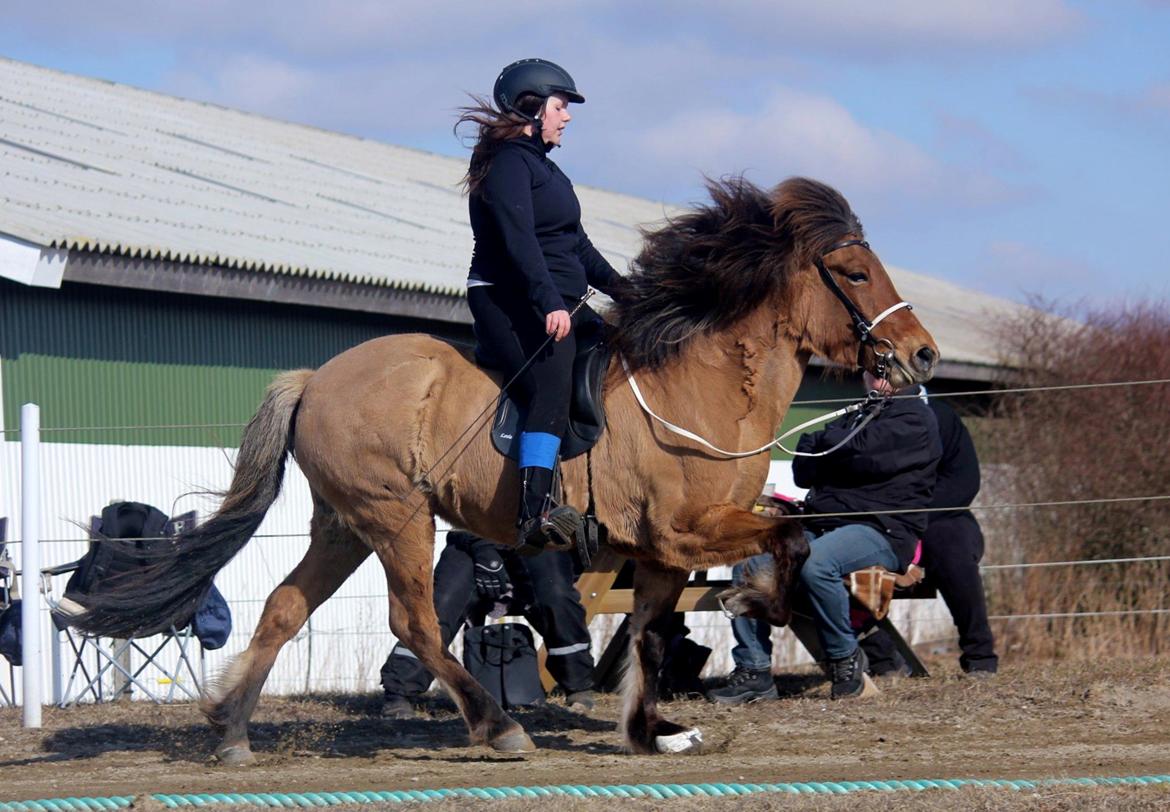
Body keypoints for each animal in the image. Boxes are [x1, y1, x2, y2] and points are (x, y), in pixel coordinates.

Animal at [75, 177, 940, 762]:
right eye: (854, 274)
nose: (924, 355)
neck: (702, 387)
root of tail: (316, 378)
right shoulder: (688, 532)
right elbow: (791, 538)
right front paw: (768, 603)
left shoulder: (662, 554)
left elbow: (653, 635)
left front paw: (649, 729)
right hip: (397, 519)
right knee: (414, 623)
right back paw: (498, 727)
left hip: (343, 524)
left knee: (286, 607)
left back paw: (229, 730)